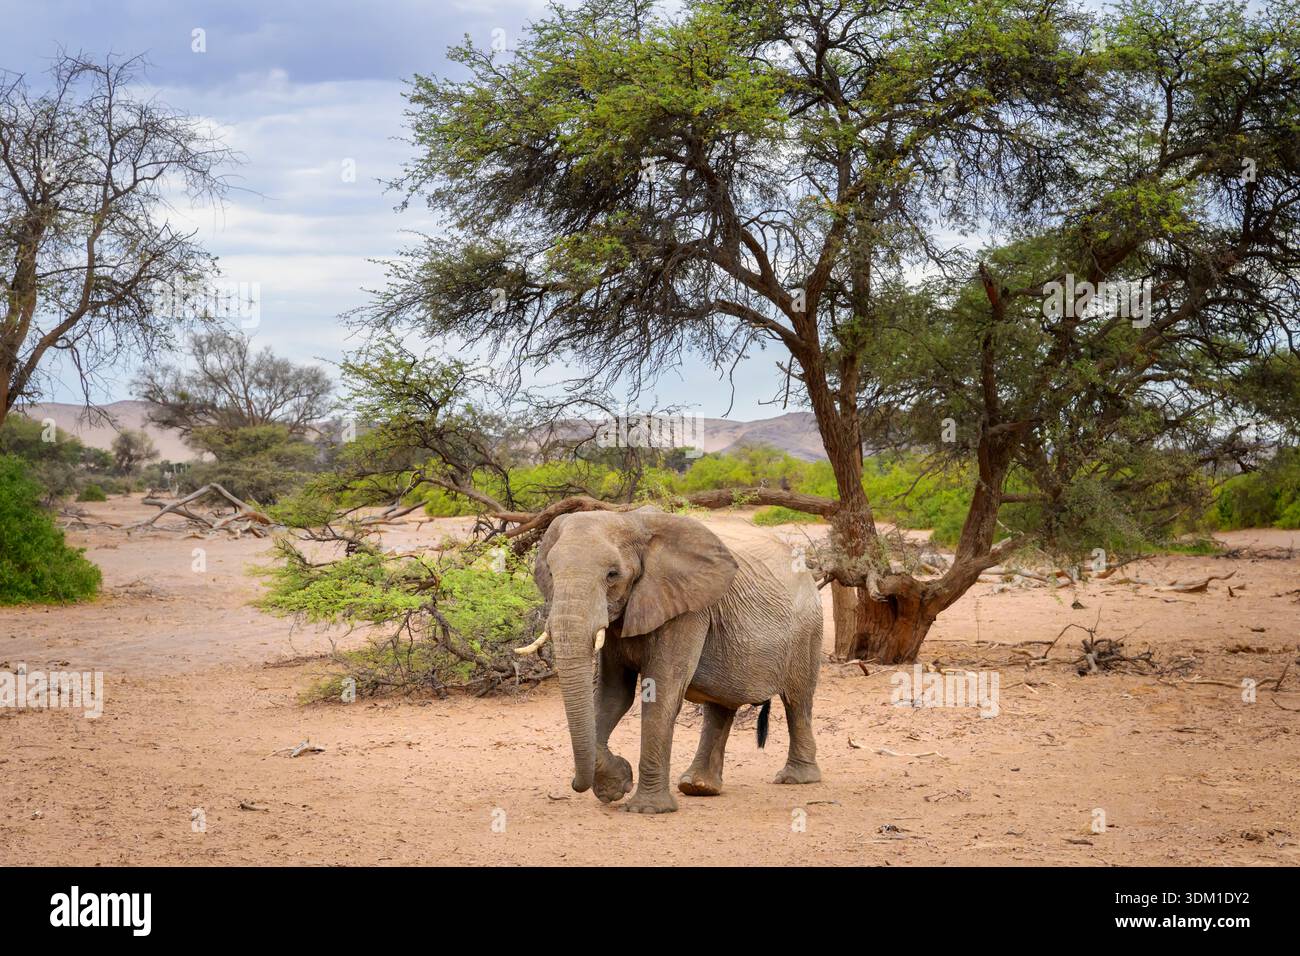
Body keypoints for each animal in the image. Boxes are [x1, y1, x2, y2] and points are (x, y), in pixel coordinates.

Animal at [519, 509, 823, 814]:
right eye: (551, 573)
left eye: (612, 574)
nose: (575, 784)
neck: (633, 522)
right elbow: (613, 695)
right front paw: (616, 786)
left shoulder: (687, 609)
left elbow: (660, 693)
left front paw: (646, 809)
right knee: (721, 704)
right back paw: (698, 786)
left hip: (807, 630)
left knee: (797, 700)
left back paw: (795, 778)